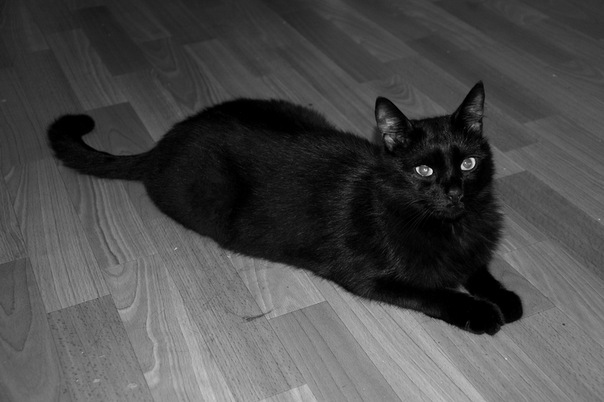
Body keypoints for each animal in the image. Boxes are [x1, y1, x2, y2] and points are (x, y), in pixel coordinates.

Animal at [48, 81, 522, 335]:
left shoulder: (470, 244)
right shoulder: (370, 277)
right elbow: (432, 292)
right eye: (424, 170)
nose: (454, 192)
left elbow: (475, 268)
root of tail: (162, 144)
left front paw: (504, 297)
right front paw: (480, 311)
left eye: (468, 163)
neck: (446, 226)